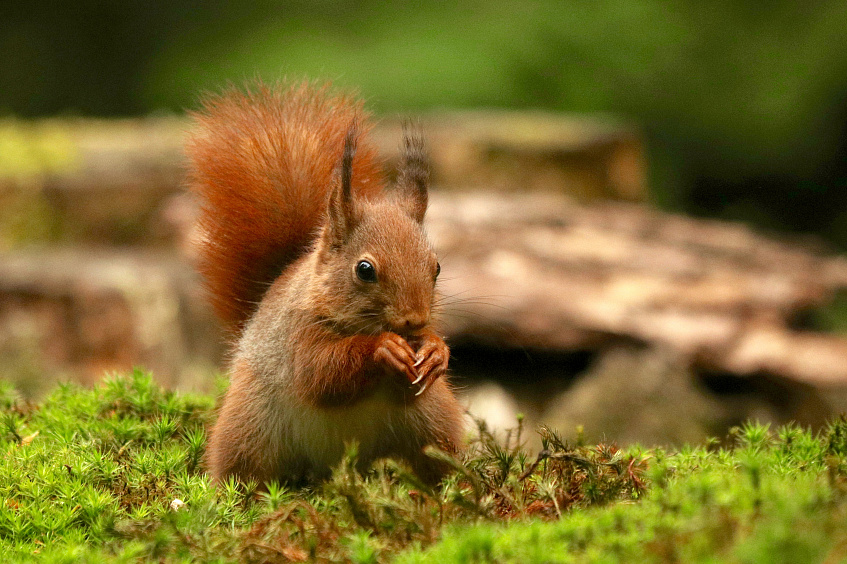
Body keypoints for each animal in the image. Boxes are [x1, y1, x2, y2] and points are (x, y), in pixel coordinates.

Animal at [186, 81, 468, 486]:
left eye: (438, 267)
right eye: (364, 269)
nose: (415, 320)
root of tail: (333, 465)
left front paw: (434, 351)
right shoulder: (298, 335)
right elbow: (320, 374)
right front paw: (382, 349)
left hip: (433, 420)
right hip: (249, 426)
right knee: (243, 468)